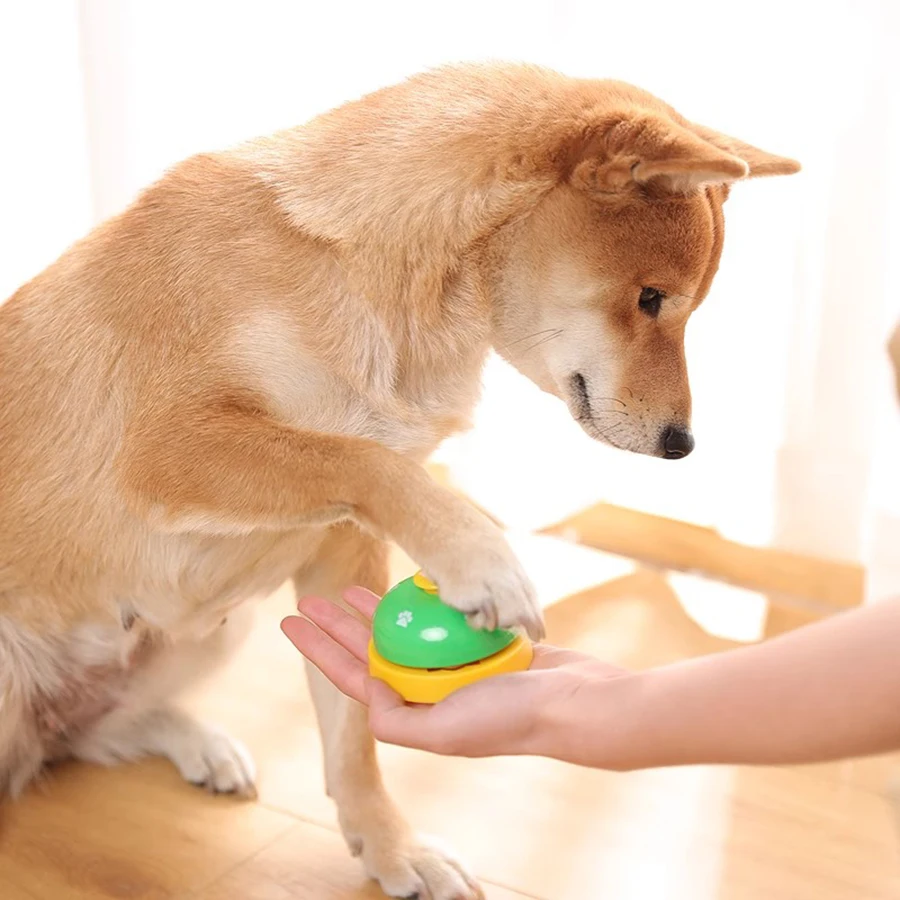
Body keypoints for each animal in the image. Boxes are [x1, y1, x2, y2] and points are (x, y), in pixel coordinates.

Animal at [0, 65, 800, 900]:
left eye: (685, 306)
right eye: (649, 299)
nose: (683, 445)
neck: (377, 279)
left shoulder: (340, 545)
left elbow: (354, 740)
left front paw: (391, 850)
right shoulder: (168, 448)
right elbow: (360, 457)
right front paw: (479, 556)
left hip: (216, 629)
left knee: (93, 736)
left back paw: (198, 743)